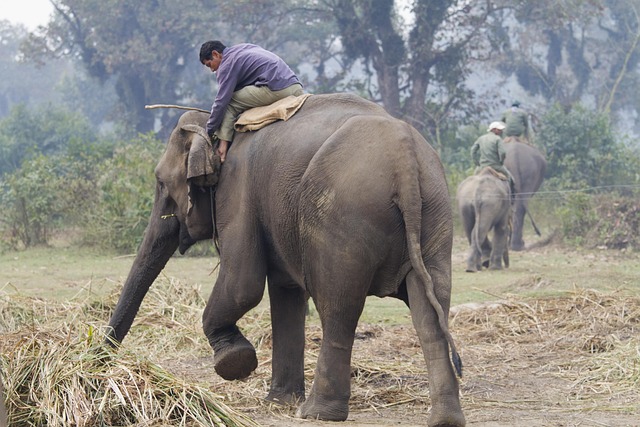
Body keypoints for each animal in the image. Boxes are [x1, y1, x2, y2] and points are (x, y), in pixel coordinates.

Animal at [105, 93, 465, 426]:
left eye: (160, 182)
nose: (101, 359)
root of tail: (405, 162)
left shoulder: (238, 192)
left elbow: (243, 285)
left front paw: (235, 361)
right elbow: (285, 291)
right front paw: (278, 401)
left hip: (344, 217)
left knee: (338, 308)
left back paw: (317, 413)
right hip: (435, 211)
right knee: (430, 312)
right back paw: (445, 419)